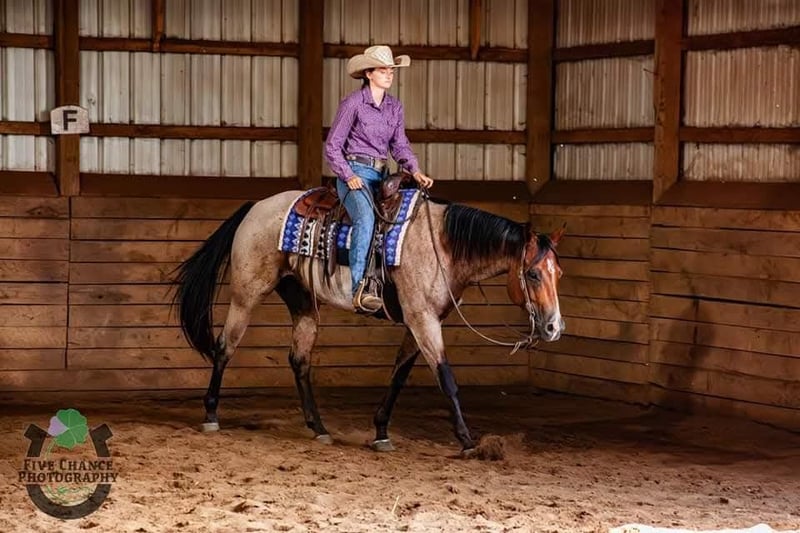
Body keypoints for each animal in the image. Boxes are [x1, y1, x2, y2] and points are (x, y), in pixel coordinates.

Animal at [172, 184, 564, 455]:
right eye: (532, 274)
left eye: (557, 272)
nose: (553, 327)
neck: (442, 245)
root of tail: (254, 208)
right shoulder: (423, 320)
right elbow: (446, 378)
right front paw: (468, 441)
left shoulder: (419, 321)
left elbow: (398, 377)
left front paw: (381, 432)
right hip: (247, 293)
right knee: (225, 347)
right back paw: (211, 416)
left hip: (302, 302)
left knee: (299, 360)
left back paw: (319, 427)